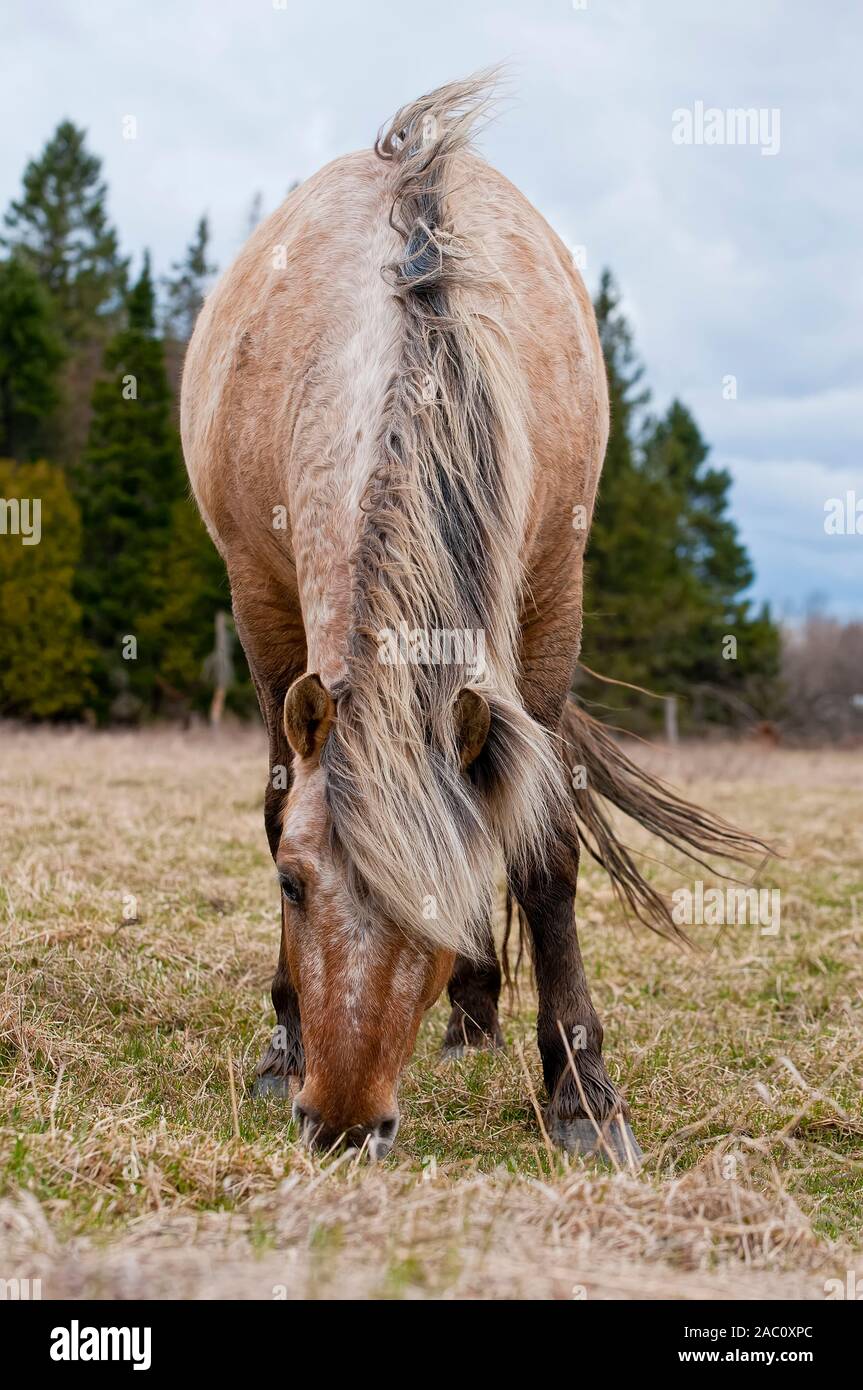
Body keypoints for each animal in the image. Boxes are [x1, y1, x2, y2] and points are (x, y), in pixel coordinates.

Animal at [181, 73, 763, 1163]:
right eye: (291, 887)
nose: (342, 1124)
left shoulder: (548, 604)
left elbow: (542, 849)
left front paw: (581, 1094)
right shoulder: (261, 602)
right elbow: (278, 802)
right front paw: (283, 1041)